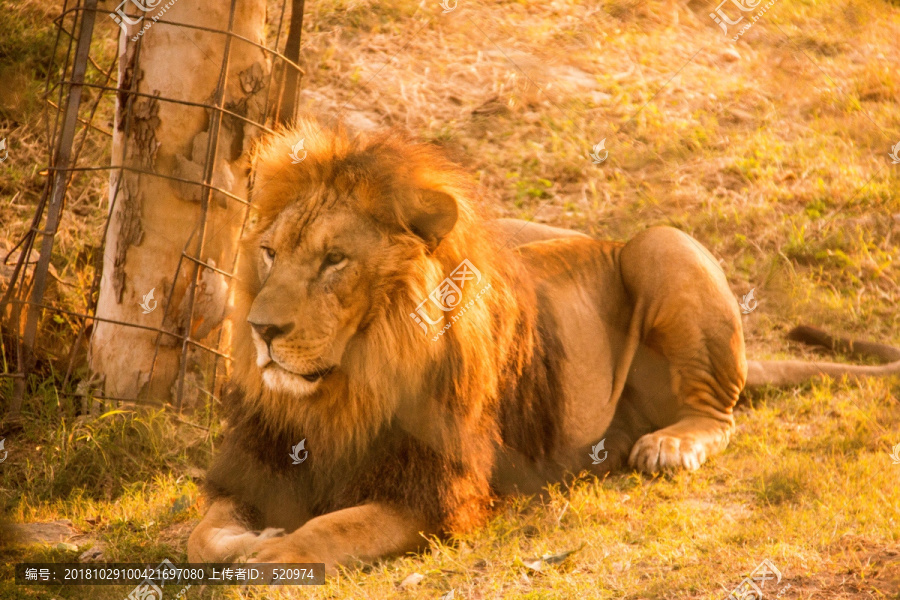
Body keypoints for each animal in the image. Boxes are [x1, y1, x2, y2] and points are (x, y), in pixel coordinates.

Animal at [188, 118, 900, 572]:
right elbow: (204, 533)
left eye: (334, 260)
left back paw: (670, 445)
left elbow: (329, 530)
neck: (345, 390)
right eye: (270, 253)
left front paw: (276, 552)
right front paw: (246, 541)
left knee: (718, 414)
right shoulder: (256, 464)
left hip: (660, 244)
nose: (260, 330)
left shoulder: (437, 495)